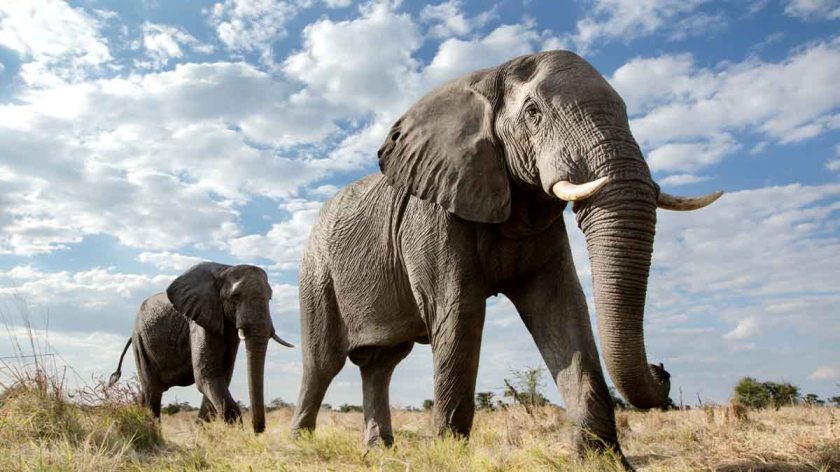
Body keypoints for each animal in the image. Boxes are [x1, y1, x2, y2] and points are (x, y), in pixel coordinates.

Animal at [109, 262, 294, 433]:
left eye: (270, 298)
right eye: (235, 297)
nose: (258, 431)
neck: (225, 270)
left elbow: (222, 376)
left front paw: (201, 433)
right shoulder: (199, 319)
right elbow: (207, 373)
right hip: (141, 340)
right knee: (152, 391)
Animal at [289, 49, 721, 466]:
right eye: (533, 113)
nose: (662, 370)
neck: (486, 79)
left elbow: (560, 309)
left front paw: (601, 461)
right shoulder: (432, 214)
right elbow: (459, 312)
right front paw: (450, 457)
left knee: (381, 364)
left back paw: (379, 452)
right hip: (316, 274)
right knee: (322, 363)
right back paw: (300, 445)